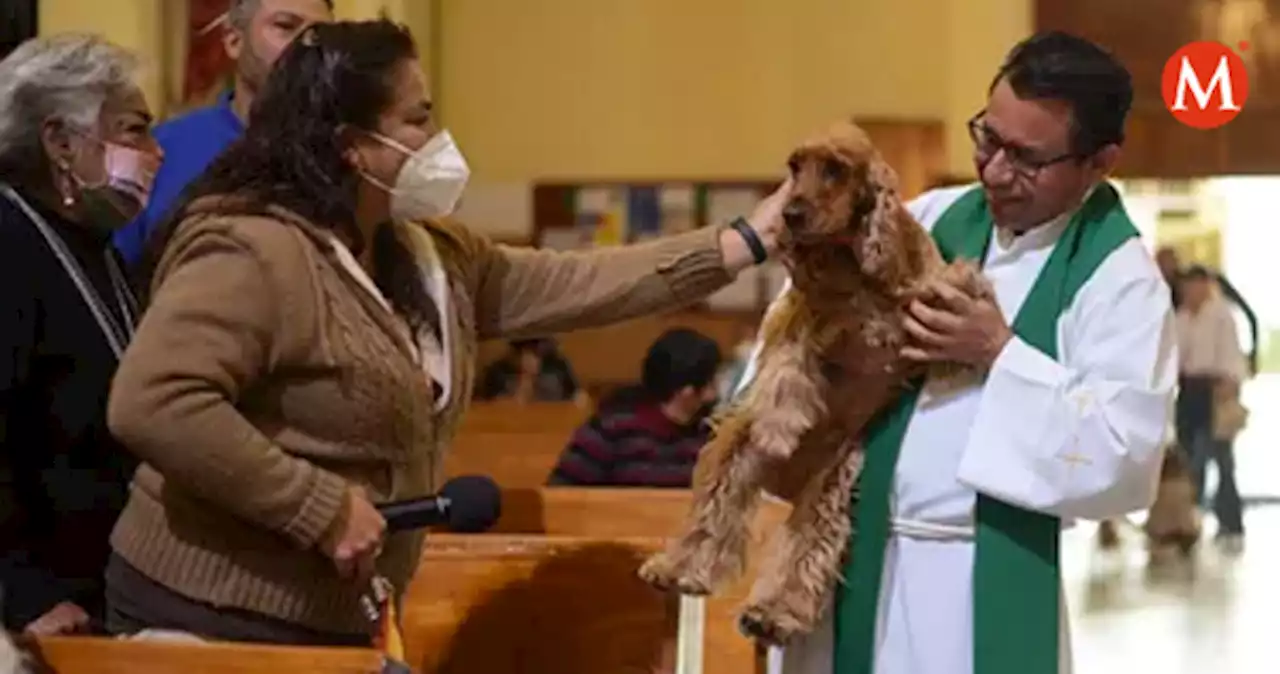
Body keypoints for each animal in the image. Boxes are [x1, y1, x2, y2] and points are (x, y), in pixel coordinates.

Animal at [640, 118, 988, 647]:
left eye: (835, 170)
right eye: (794, 167)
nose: (790, 214)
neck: (854, 269)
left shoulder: (920, 293)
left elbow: (954, 284)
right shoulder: (804, 318)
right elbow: (786, 369)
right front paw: (780, 425)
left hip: (830, 487)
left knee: (805, 550)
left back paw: (773, 614)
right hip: (735, 454)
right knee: (711, 516)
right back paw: (679, 569)